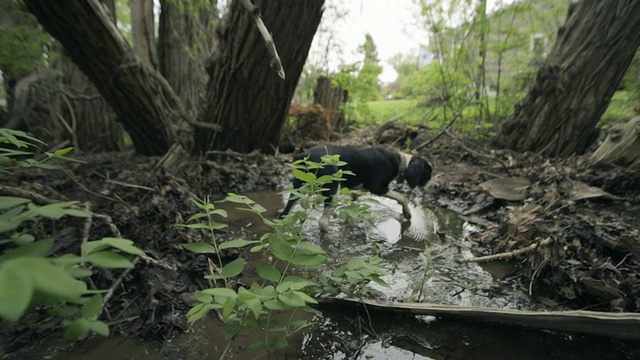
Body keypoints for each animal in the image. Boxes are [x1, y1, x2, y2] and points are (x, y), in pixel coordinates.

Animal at [278, 144, 432, 232]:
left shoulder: (355, 192)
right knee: (322, 223)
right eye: (428, 172)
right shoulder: (378, 188)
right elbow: (402, 197)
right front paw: (407, 213)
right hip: (332, 192)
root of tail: (303, 154)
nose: (430, 182)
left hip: (298, 189)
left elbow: (352, 209)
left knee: (284, 213)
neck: (400, 161)